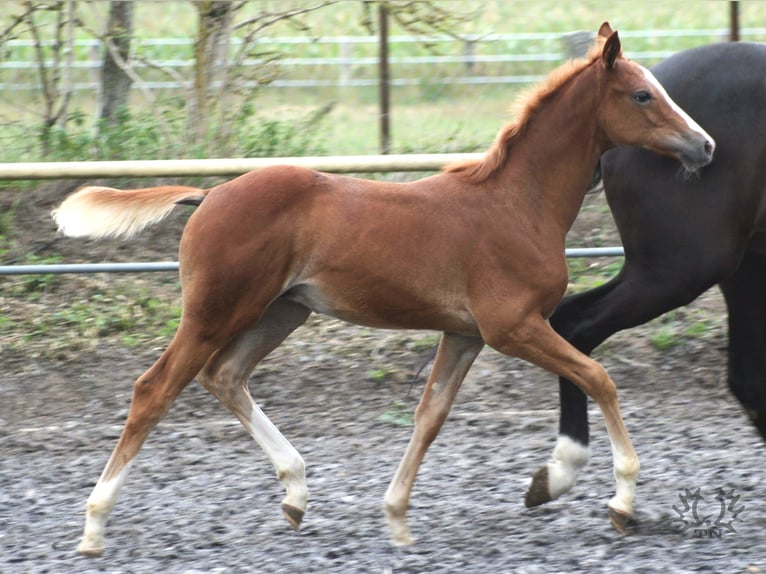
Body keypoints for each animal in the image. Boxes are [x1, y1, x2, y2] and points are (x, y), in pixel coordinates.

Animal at [52, 23, 714, 556]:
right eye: (642, 94)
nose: (705, 145)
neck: (516, 203)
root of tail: (209, 193)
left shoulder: (465, 334)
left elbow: (430, 415)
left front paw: (396, 518)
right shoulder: (513, 327)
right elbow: (599, 377)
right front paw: (621, 502)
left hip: (280, 313)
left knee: (225, 376)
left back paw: (296, 493)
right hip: (217, 311)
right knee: (155, 389)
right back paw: (93, 526)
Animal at [525, 41, 766, 509]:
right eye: (642, 98)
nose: (702, 146)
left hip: (724, 269)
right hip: (682, 269)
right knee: (578, 326)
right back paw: (569, 469)